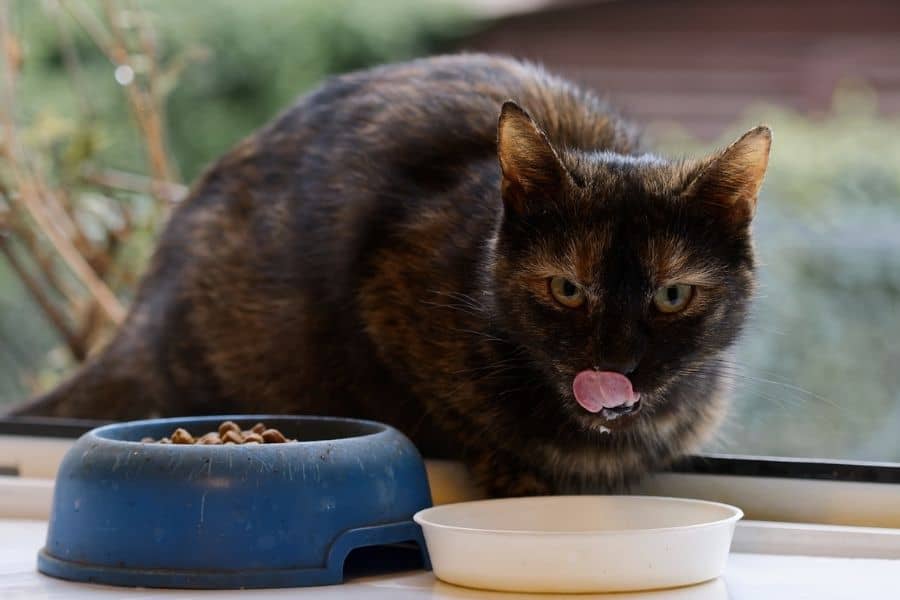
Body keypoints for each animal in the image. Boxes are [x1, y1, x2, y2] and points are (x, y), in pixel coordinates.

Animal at [7, 55, 768, 496]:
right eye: (567, 289)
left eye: (672, 295)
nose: (617, 363)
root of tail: (143, 310)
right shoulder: (386, 295)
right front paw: (510, 468)